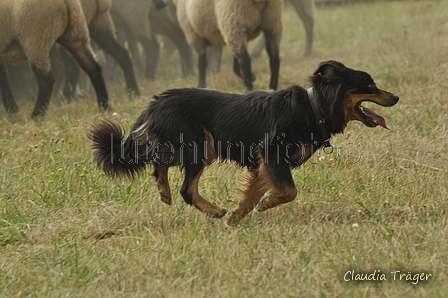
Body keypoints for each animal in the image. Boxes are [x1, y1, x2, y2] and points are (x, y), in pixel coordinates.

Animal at [89, 60, 398, 225]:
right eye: (370, 85)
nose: (395, 97)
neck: (314, 107)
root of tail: (153, 104)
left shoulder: (265, 163)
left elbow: (253, 195)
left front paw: (236, 218)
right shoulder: (271, 152)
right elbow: (289, 191)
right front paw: (264, 205)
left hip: (190, 145)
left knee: (159, 162)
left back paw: (164, 190)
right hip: (201, 145)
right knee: (186, 188)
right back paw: (212, 210)